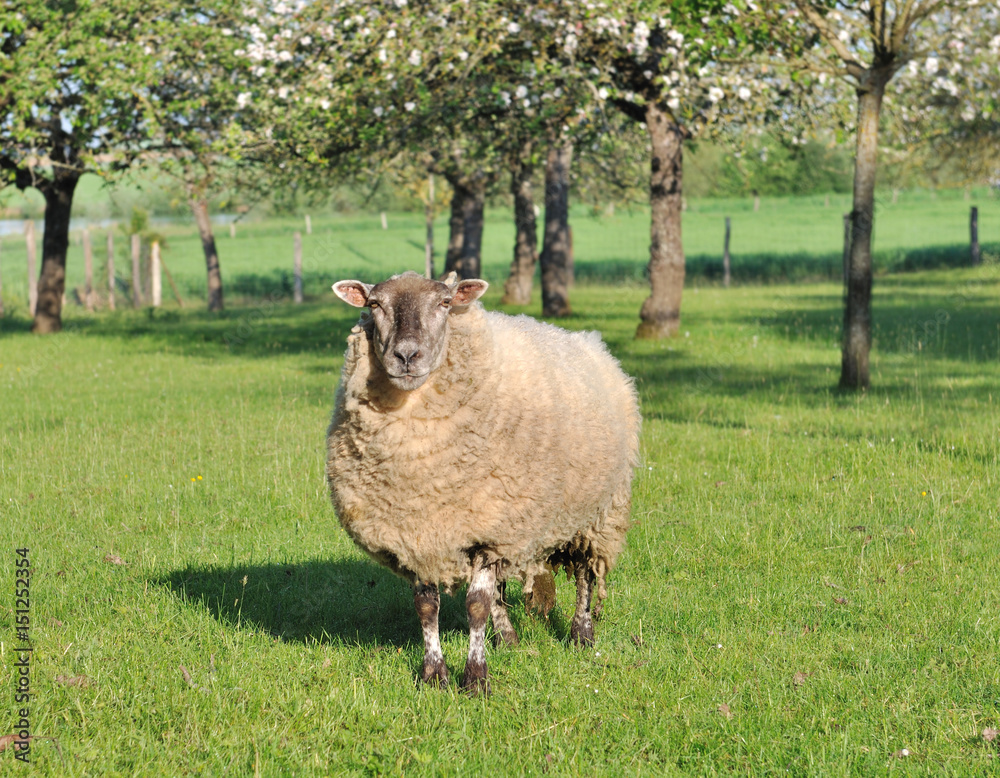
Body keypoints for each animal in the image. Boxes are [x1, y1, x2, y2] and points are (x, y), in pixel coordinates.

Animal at [328, 272, 640, 692]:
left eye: (445, 304)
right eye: (374, 304)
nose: (406, 356)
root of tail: (591, 340)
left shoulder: (487, 531)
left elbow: (475, 604)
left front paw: (475, 678)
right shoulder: (418, 531)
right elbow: (427, 606)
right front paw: (434, 675)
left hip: (597, 513)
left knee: (585, 575)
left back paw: (581, 634)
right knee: (501, 592)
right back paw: (508, 638)